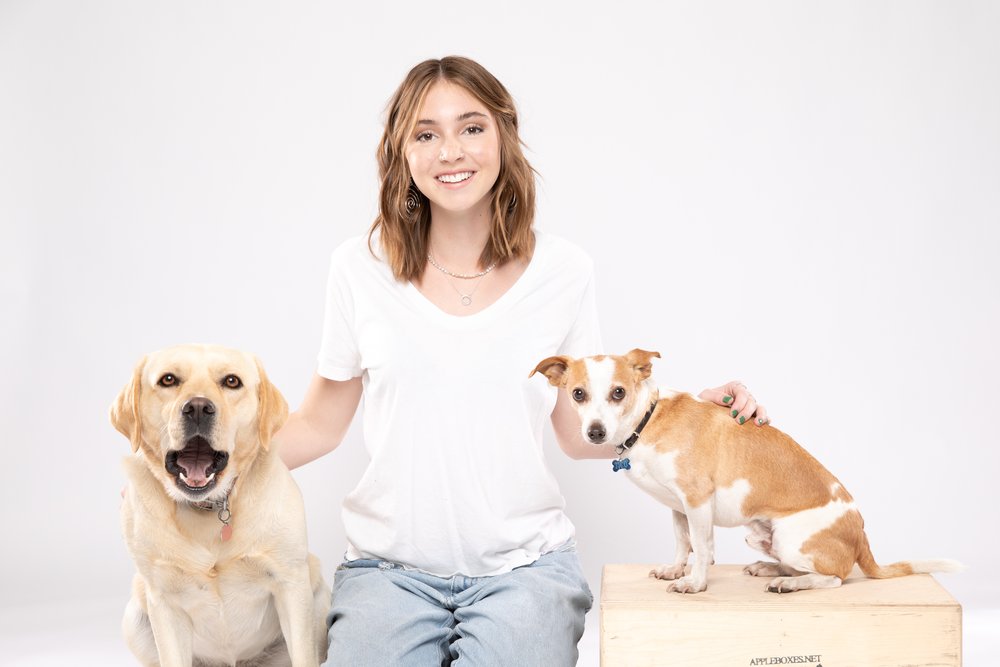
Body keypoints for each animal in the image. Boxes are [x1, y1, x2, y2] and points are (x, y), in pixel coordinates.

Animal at [110, 348, 328, 667]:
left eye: (231, 381)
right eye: (168, 379)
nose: (198, 407)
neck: (210, 506)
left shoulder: (290, 583)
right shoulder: (163, 600)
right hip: (135, 618)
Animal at [532, 350, 960, 596]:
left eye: (618, 393)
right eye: (578, 395)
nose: (594, 432)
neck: (647, 420)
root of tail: (861, 537)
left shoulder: (697, 500)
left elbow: (702, 547)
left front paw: (695, 583)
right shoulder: (678, 507)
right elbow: (682, 542)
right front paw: (675, 569)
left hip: (791, 537)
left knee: (835, 576)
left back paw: (789, 582)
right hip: (759, 535)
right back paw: (767, 568)